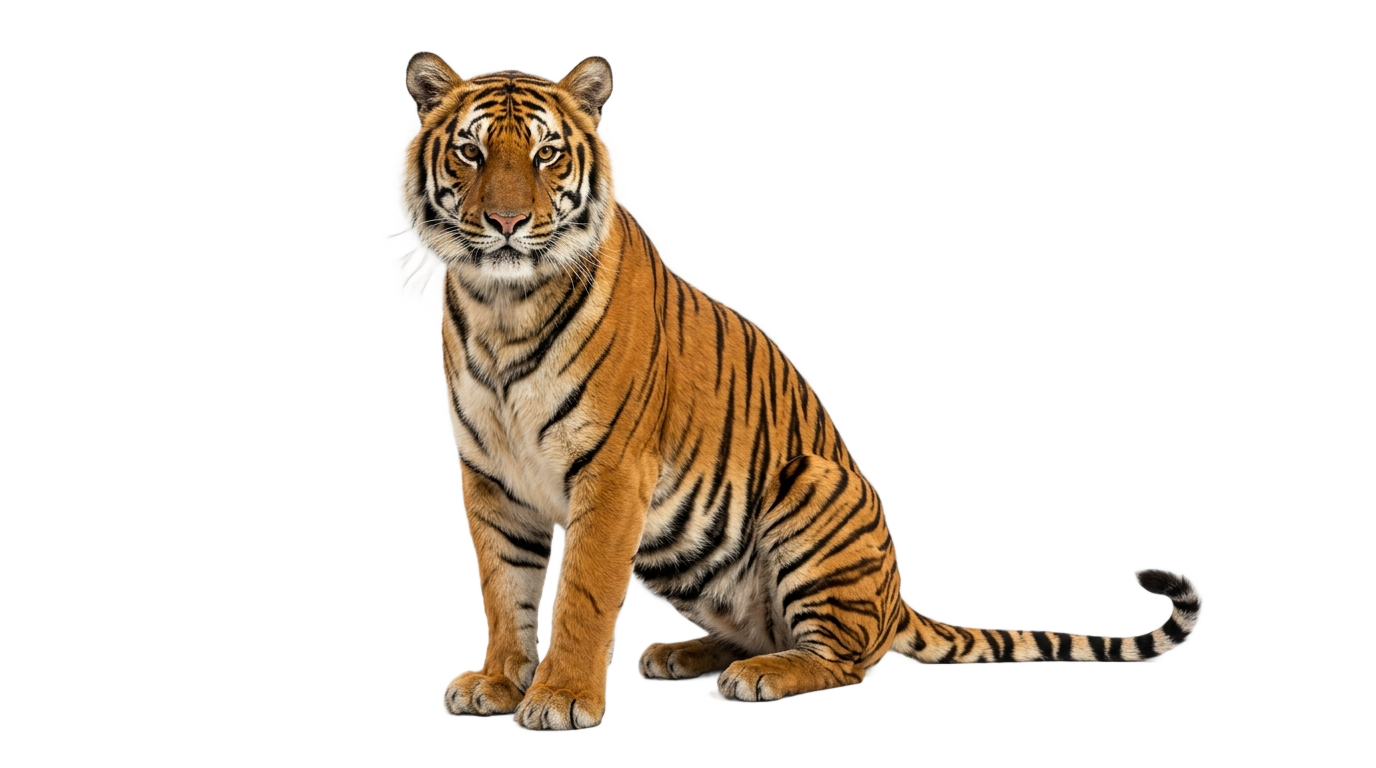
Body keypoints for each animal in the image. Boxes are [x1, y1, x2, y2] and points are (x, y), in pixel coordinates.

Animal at [401, 52, 1201, 730]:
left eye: (547, 153)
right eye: (471, 151)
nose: (508, 223)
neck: (503, 307)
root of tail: (895, 601)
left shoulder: (612, 472)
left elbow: (582, 597)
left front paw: (562, 697)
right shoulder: (491, 477)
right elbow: (505, 591)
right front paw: (498, 682)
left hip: (812, 485)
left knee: (846, 659)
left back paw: (763, 675)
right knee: (758, 630)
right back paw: (684, 654)